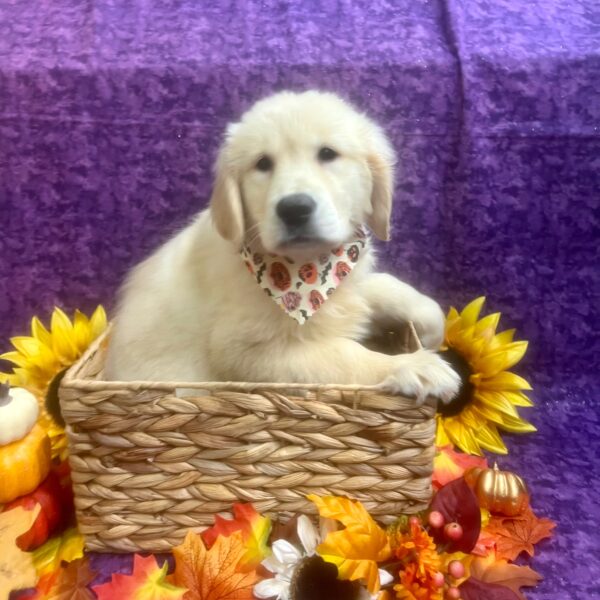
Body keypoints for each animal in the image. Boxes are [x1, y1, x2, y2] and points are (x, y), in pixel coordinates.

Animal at [105, 90, 460, 404]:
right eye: (263, 163)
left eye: (327, 154)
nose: (294, 209)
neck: (305, 269)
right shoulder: (245, 351)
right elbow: (341, 355)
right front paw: (413, 366)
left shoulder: (349, 283)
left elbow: (386, 286)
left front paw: (431, 327)